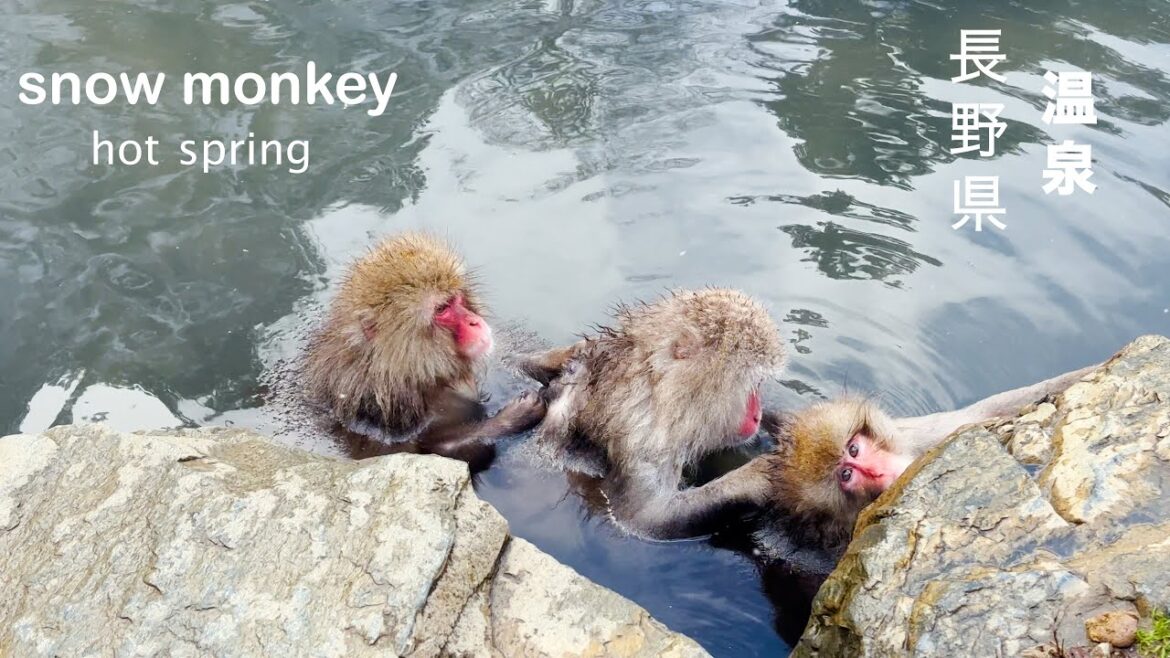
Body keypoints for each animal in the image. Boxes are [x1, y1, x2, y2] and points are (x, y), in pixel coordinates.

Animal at [302, 232, 546, 470]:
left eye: (456, 298)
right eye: (442, 309)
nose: (474, 321)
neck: (411, 370)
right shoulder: (390, 412)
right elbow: (438, 451)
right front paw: (514, 416)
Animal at [515, 288, 787, 541]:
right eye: (754, 384)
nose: (757, 416)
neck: (656, 387)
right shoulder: (645, 433)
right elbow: (644, 519)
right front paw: (760, 475)